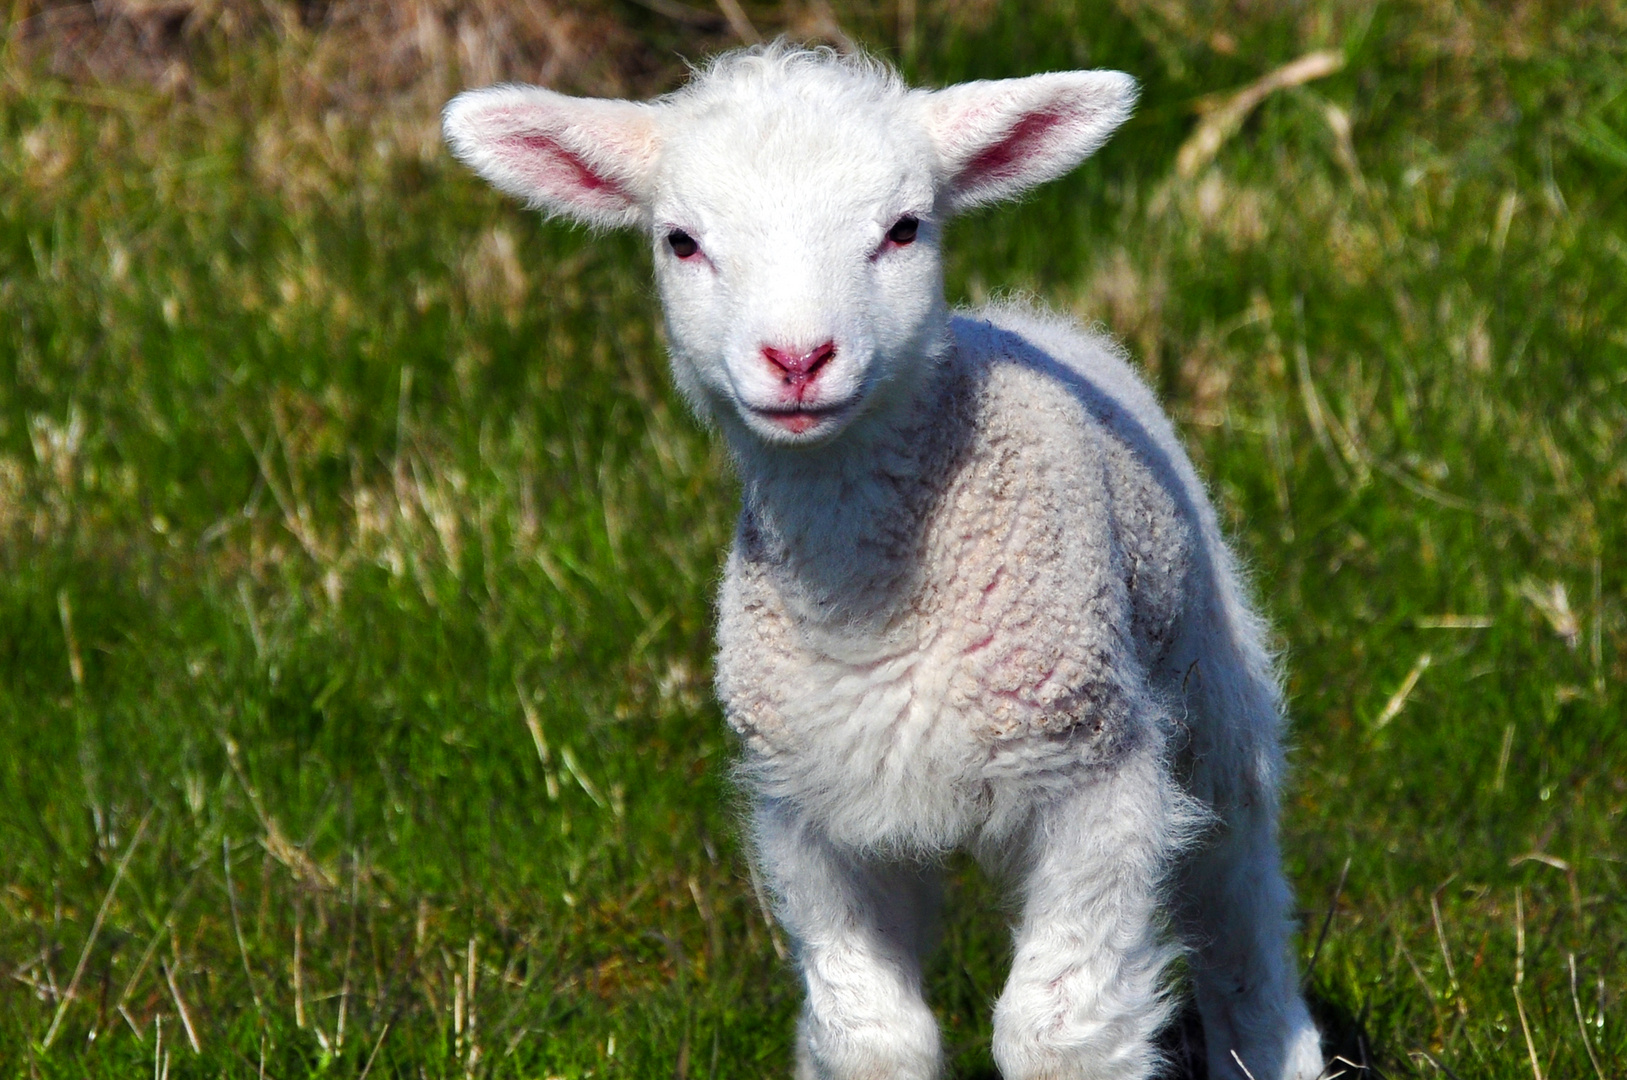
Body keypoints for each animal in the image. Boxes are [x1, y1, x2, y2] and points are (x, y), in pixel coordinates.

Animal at [442, 44, 1321, 1080]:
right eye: (680, 242)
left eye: (903, 230)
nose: (796, 358)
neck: (871, 601)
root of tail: (1012, 317)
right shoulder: (811, 814)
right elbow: (872, 1033)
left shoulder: (1100, 779)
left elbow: (1057, 1029)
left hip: (1209, 680)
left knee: (1239, 895)